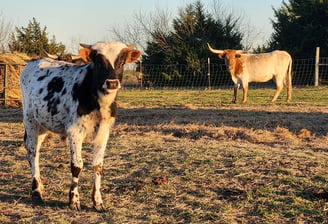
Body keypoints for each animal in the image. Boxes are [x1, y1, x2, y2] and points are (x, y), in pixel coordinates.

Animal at [20, 41, 141, 211]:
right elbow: (77, 165)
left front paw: (97, 201)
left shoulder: (104, 133)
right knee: (32, 153)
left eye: (122, 62)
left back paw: (40, 187)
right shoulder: (74, 132)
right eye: (98, 62)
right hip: (30, 120)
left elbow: (98, 166)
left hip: (43, 123)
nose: (112, 83)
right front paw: (74, 200)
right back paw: (36, 192)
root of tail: (34, 61)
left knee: (36, 151)